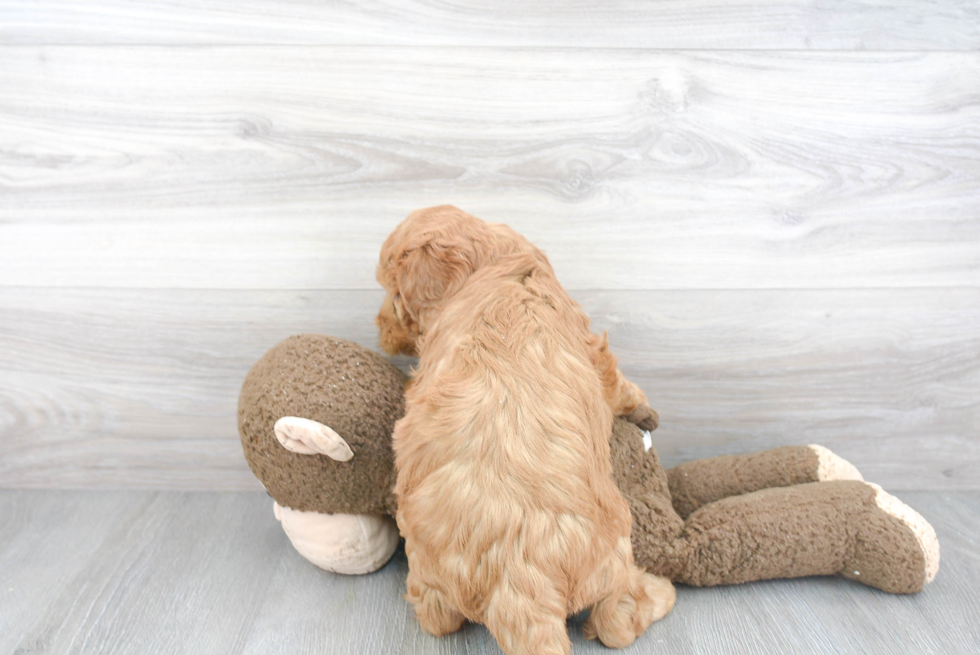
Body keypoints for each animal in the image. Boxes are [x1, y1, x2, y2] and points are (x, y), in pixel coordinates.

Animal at [376, 206, 672, 655]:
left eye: (394, 295)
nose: (380, 328)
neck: (492, 265)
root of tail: (519, 578)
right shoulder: (591, 346)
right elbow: (615, 381)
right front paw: (643, 408)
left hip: (430, 567)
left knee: (438, 619)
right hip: (614, 552)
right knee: (615, 621)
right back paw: (661, 591)